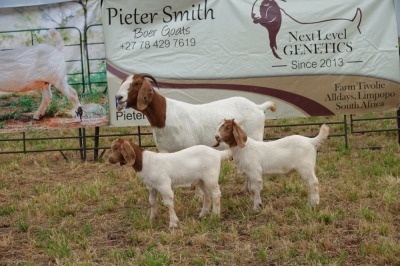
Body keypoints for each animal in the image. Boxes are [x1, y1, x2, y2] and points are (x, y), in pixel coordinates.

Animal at [115, 72, 276, 153]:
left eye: (136, 83)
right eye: (122, 82)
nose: (118, 97)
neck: (164, 115)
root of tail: (258, 107)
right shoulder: (165, 151)